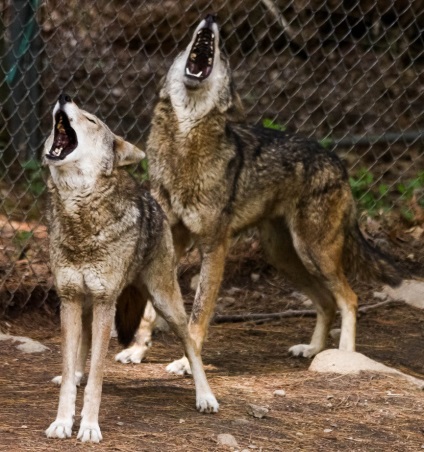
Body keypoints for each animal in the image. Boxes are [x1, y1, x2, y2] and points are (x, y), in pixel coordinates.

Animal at [42, 93, 219, 444]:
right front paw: (63, 421)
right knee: (81, 349)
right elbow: (69, 370)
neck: (79, 217)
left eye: (92, 120)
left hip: (166, 303)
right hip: (87, 305)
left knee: (191, 344)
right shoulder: (69, 299)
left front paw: (89, 426)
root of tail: (152, 200)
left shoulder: (105, 302)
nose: (64, 97)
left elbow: (98, 375)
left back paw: (205, 396)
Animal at [116, 15, 420, 374]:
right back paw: (312, 349)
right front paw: (137, 350)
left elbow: (198, 312)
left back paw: (345, 356)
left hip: (314, 253)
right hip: (285, 258)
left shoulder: (214, 248)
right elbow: (151, 310)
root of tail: (338, 162)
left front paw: (186, 362)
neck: (183, 146)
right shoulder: (170, 243)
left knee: (349, 298)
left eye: (225, 56)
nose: (211, 18)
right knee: (327, 302)